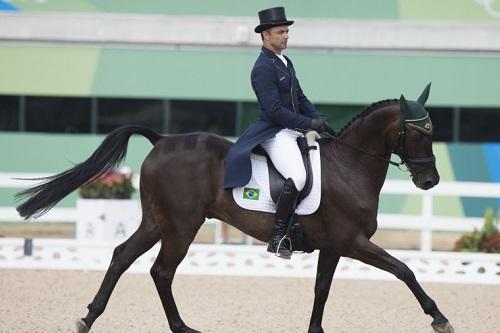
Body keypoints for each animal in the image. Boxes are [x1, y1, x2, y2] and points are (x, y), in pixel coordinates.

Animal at [16, 84, 454, 330]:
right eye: (419, 133)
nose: (430, 181)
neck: (350, 165)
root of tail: (162, 140)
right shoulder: (353, 242)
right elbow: (404, 270)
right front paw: (439, 317)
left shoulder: (333, 247)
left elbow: (322, 289)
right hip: (181, 225)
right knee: (161, 271)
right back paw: (181, 328)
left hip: (157, 222)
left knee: (122, 257)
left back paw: (88, 317)